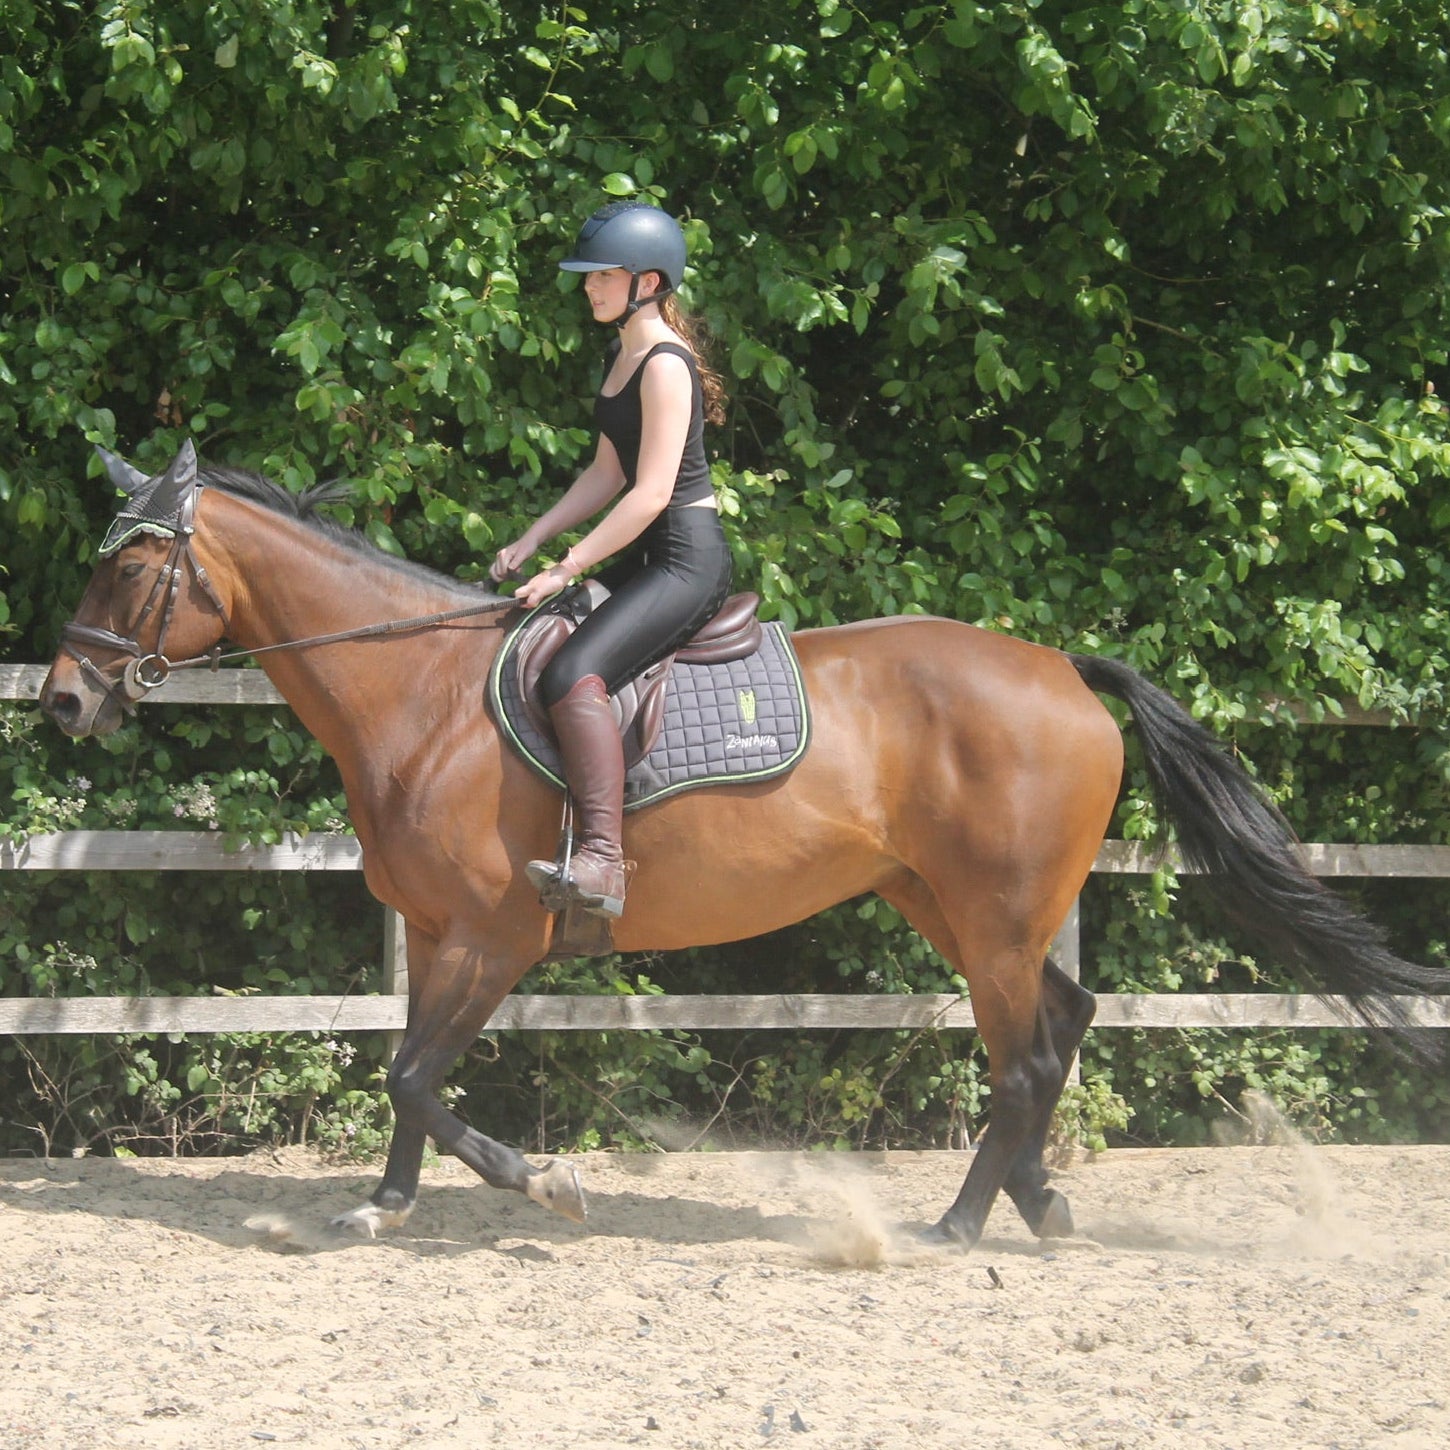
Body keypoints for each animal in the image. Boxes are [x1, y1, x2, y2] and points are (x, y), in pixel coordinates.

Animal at [38, 442, 1446, 1249]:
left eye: (132, 573)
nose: (60, 700)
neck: (421, 694)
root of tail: (1061, 667)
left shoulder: (494, 935)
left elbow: (416, 1078)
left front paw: (544, 1185)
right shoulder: (439, 936)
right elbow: (405, 1078)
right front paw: (381, 1205)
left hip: (990, 914)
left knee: (1024, 1053)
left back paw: (956, 1223)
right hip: (946, 903)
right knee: (1062, 1020)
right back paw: (1034, 1202)